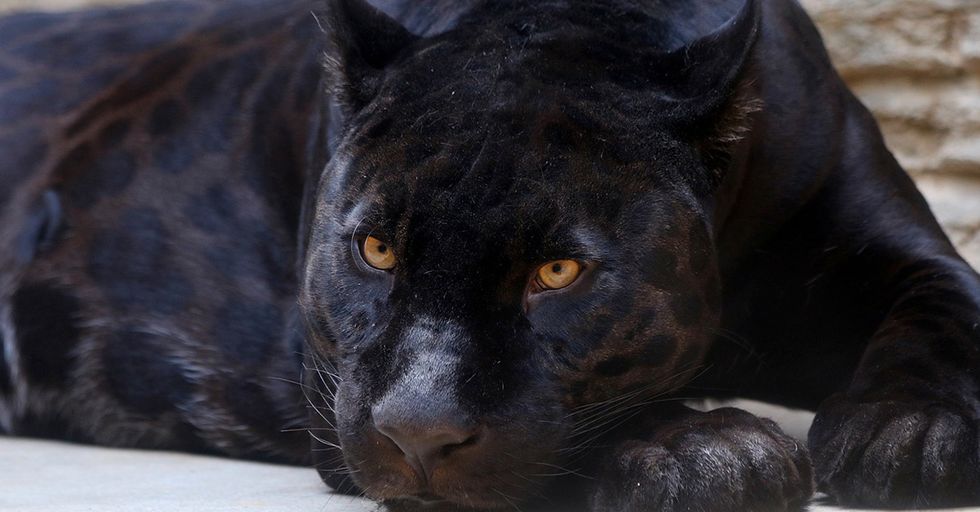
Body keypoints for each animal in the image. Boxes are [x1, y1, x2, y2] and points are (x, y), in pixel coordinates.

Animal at [1, 0, 978, 511]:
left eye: (559, 271)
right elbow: (578, 424)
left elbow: (944, 316)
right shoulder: (331, 392)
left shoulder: (895, 244)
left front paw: (909, 433)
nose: (418, 433)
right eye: (376, 249)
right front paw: (708, 447)